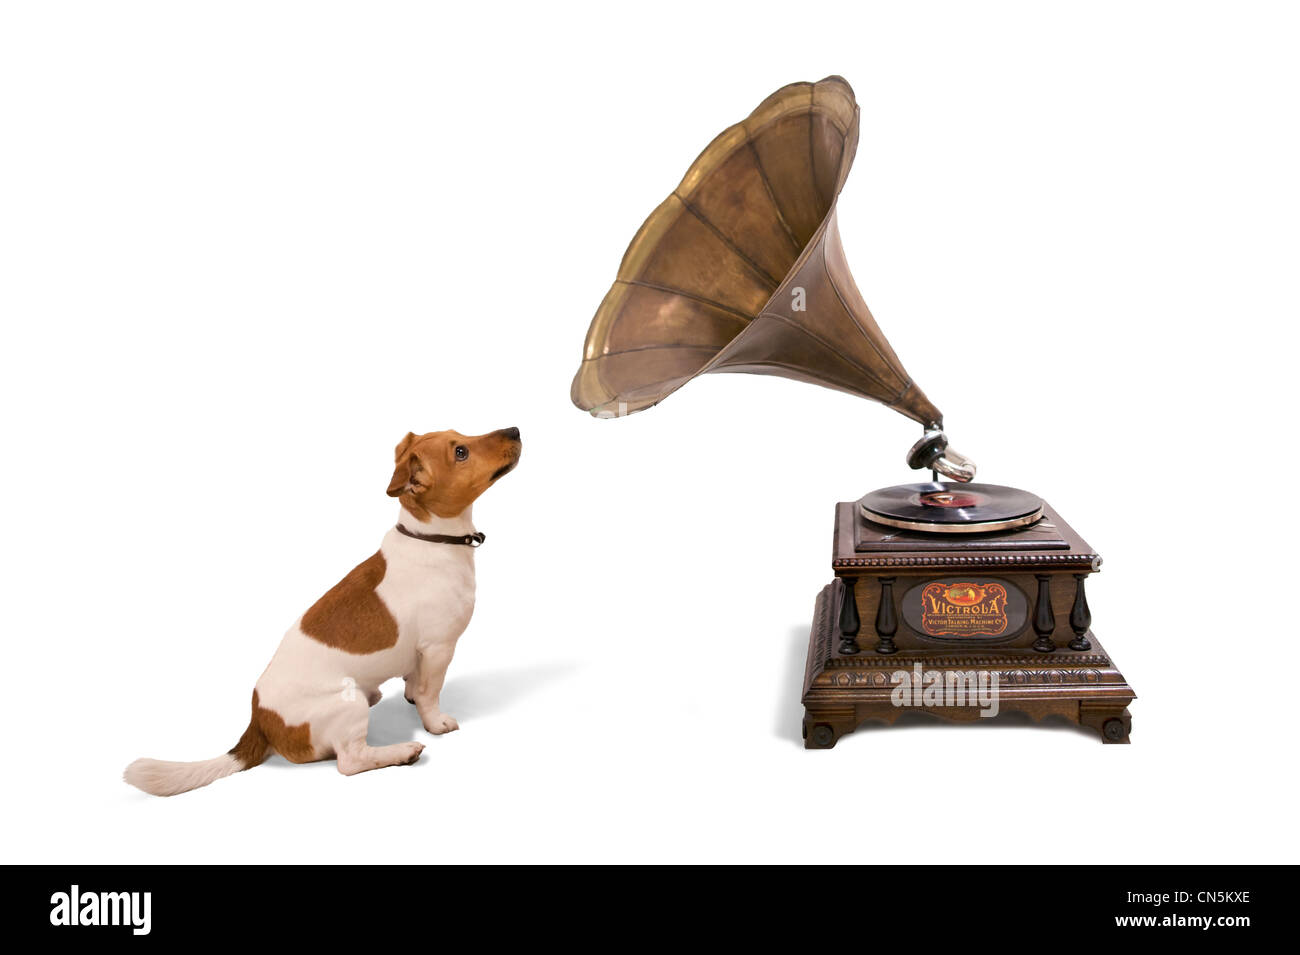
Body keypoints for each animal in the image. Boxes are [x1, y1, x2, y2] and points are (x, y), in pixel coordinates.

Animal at [124, 428, 522, 795]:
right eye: (461, 452)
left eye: (461, 435)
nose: (515, 429)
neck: (431, 538)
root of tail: (259, 721)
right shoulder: (439, 648)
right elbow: (429, 693)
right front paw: (436, 723)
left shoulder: (423, 656)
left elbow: (415, 682)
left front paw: (410, 693)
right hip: (349, 704)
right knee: (350, 761)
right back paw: (401, 752)